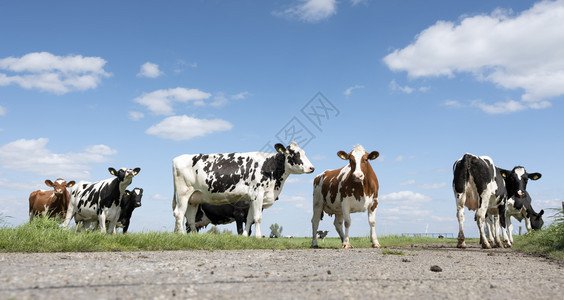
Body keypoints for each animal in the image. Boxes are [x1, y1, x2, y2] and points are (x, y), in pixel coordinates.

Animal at [170, 142, 316, 238]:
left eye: (304, 153)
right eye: (294, 154)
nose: (311, 168)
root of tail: (177, 158)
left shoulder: (251, 198)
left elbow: (250, 218)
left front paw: (246, 236)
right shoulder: (258, 194)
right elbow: (257, 217)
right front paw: (258, 237)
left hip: (194, 198)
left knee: (190, 218)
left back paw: (193, 236)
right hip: (183, 193)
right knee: (179, 214)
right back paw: (181, 235)